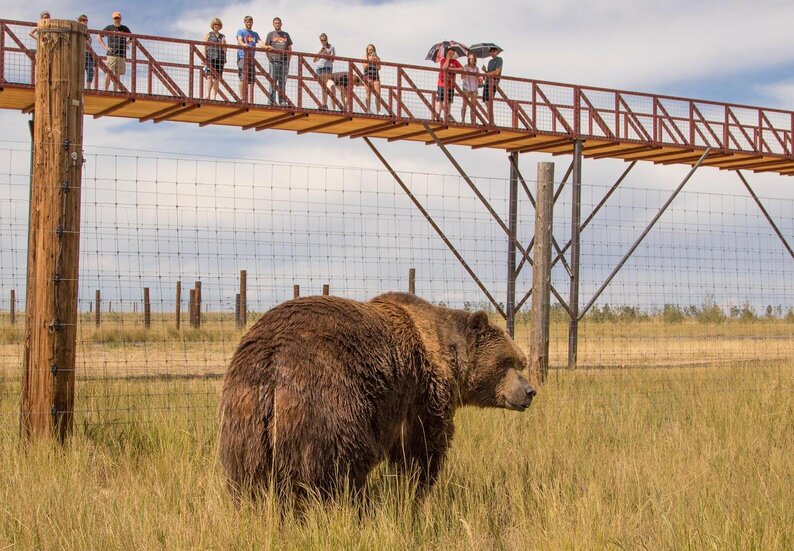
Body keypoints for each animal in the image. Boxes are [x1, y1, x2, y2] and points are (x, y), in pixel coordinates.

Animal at [220, 294, 536, 500]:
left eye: (521, 361)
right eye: (507, 361)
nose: (530, 391)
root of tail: (273, 360)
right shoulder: (422, 391)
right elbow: (420, 447)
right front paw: (416, 489)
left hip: (244, 415)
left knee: (247, 475)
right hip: (327, 400)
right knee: (338, 466)